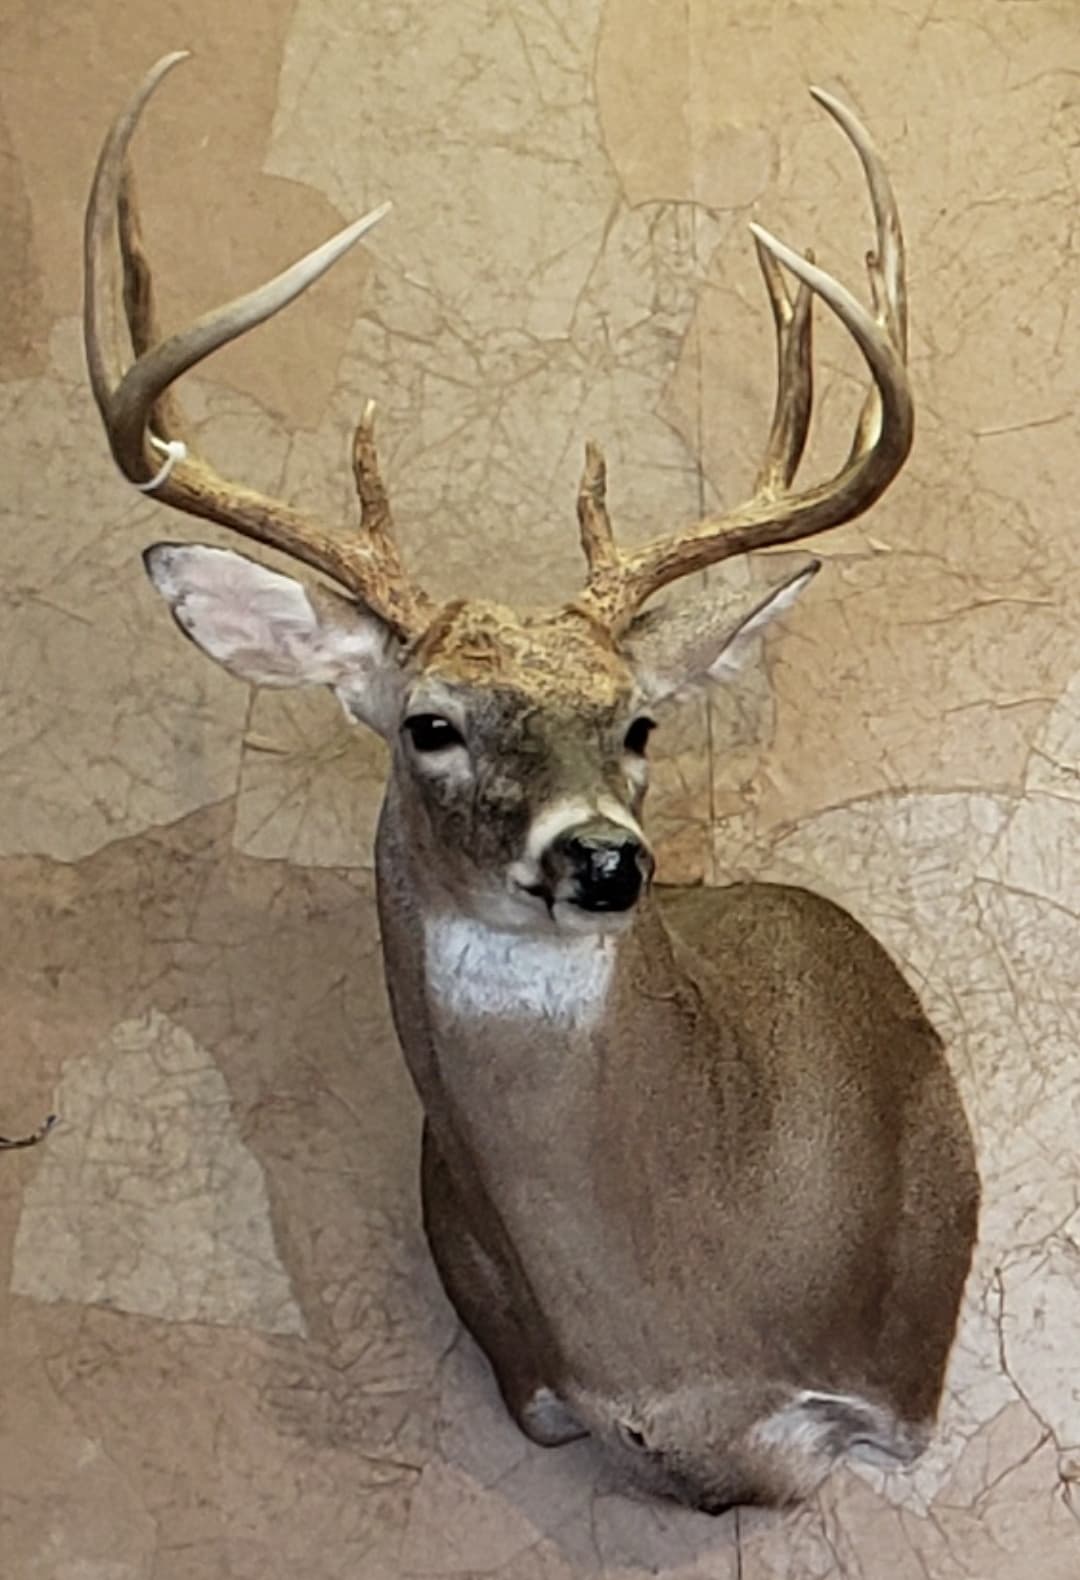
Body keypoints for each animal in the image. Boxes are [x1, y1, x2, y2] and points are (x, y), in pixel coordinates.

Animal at [83, 54, 979, 1514]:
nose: (605, 858)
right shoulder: (534, 1388)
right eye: (429, 724)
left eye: (640, 721)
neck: (671, 1343)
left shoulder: (889, 1386)